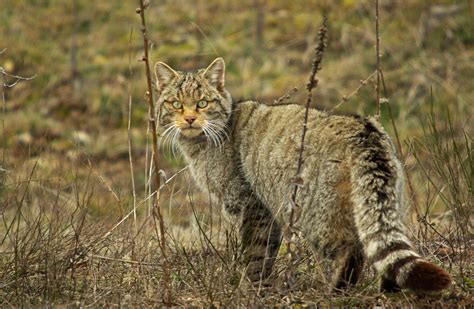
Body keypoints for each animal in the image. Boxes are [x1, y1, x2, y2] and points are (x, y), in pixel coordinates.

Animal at [155, 57, 452, 292]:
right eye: (176, 104)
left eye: (202, 103)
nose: (190, 119)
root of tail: (364, 130)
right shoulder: (268, 213)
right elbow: (267, 253)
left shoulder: (252, 206)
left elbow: (254, 254)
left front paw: (249, 289)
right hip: (382, 205)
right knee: (380, 247)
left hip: (317, 215)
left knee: (350, 252)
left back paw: (337, 293)